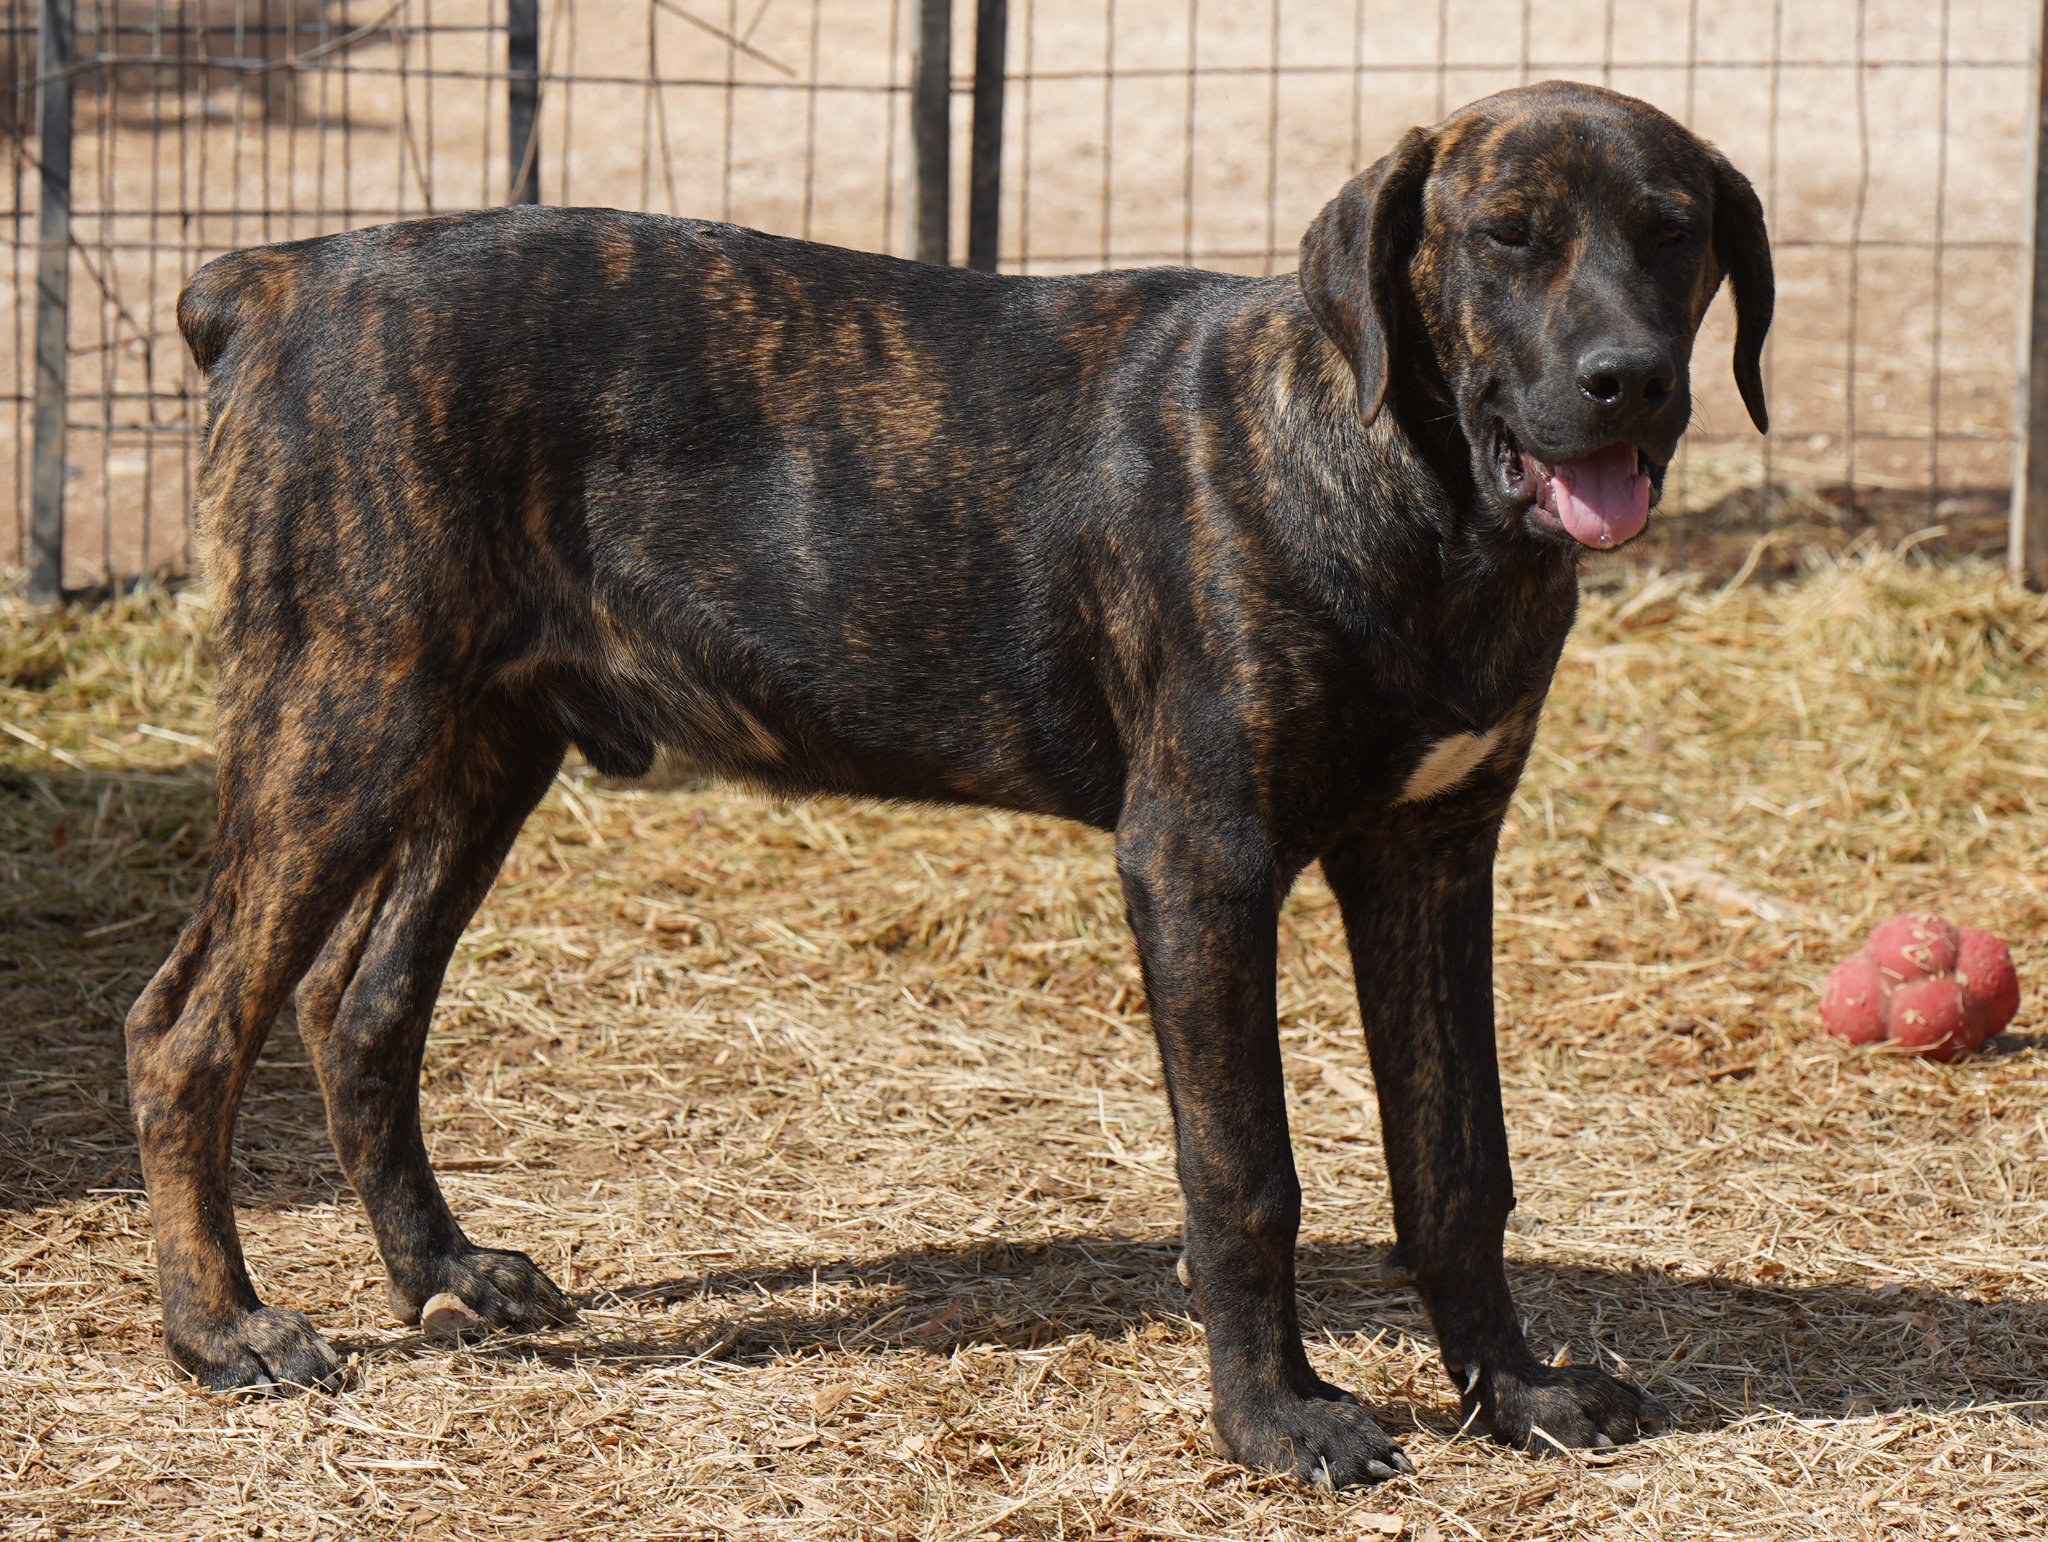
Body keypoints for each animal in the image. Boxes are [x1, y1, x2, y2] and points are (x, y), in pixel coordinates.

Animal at [128, 81, 1769, 1482]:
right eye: (1507, 236)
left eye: (1672, 229)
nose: (1628, 382)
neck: (1412, 496)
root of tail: (276, 278)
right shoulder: (1201, 859)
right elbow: (1246, 1170)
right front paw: (1275, 1420)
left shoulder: (1432, 852)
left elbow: (1456, 1158)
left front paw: (1518, 1391)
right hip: (341, 717)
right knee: (187, 1026)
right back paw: (222, 1331)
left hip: (479, 740)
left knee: (360, 1008)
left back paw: (442, 1272)